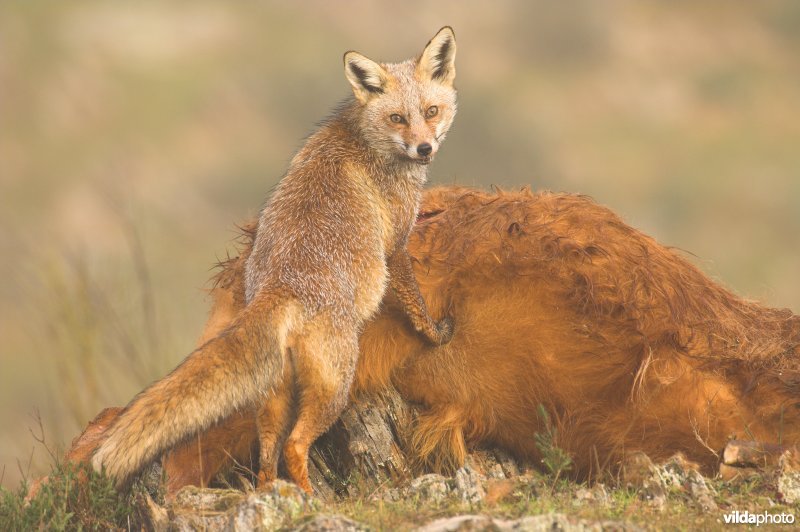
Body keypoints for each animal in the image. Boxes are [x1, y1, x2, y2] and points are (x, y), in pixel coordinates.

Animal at [89, 26, 456, 490]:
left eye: (431, 110)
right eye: (397, 119)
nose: (424, 148)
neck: (365, 140)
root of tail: (279, 288)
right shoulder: (395, 245)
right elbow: (416, 303)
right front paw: (436, 335)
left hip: (274, 397)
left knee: (268, 456)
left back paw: (275, 493)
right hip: (336, 385)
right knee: (295, 445)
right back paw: (307, 495)